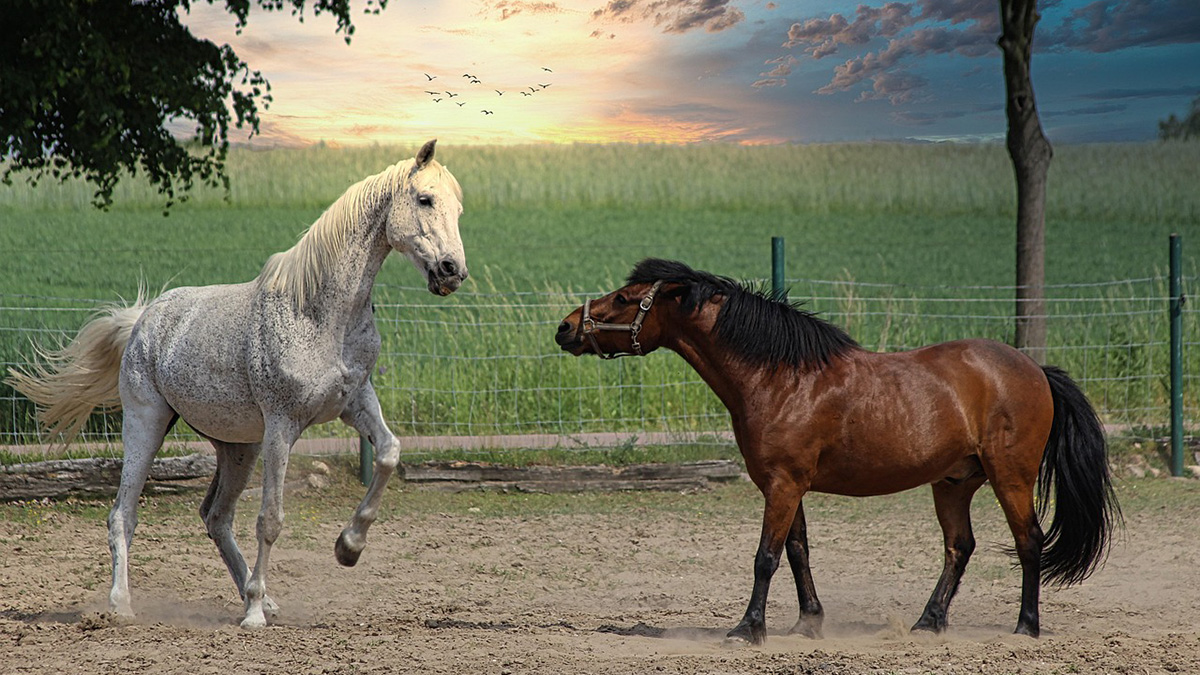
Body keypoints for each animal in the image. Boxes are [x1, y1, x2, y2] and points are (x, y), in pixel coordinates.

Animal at [7, 139, 468, 629]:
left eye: (458, 208)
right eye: (425, 199)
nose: (452, 270)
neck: (320, 313)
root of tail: (144, 319)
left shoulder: (354, 401)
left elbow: (388, 454)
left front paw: (349, 547)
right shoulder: (283, 426)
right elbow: (271, 519)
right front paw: (254, 617)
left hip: (237, 446)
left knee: (215, 517)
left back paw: (259, 596)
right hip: (147, 424)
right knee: (123, 515)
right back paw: (122, 604)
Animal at [555, 258, 1120, 644]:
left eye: (625, 298)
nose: (566, 327)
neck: (780, 378)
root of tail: (1034, 369)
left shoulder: (783, 485)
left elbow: (765, 557)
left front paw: (747, 629)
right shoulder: (786, 485)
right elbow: (797, 552)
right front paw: (808, 622)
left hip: (1011, 477)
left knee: (1029, 542)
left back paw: (1026, 626)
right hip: (954, 482)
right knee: (960, 548)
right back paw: (928, 622)